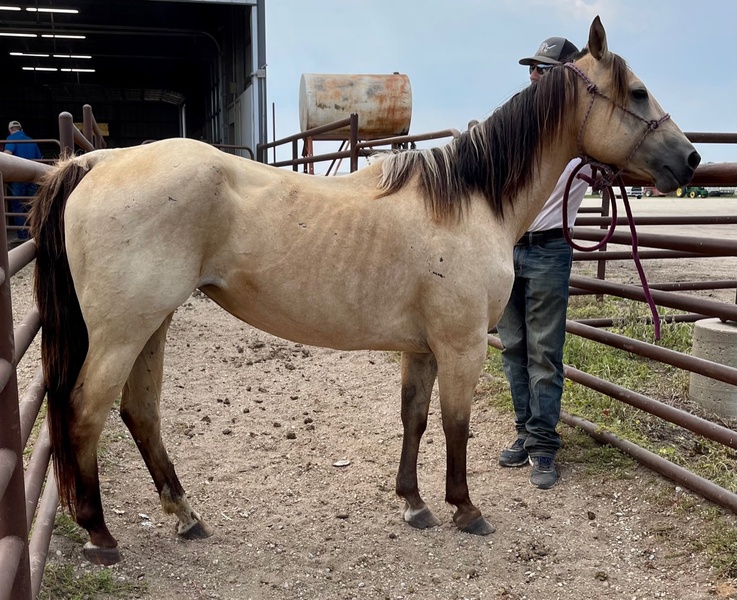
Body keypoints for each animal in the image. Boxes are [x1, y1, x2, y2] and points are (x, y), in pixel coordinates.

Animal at [29, 17, 699, 566]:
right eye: (638, 92)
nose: (690, 160)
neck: (469, 202)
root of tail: (98, 162)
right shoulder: (460, 346)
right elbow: (455, 426)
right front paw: (466, 509)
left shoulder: (422, 348)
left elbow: (416, 420)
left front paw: (415, 504)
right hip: (124, 330)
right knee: (86, 410)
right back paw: (100, 534)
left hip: (153, 324)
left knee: (139, 411)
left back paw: (185, 517)